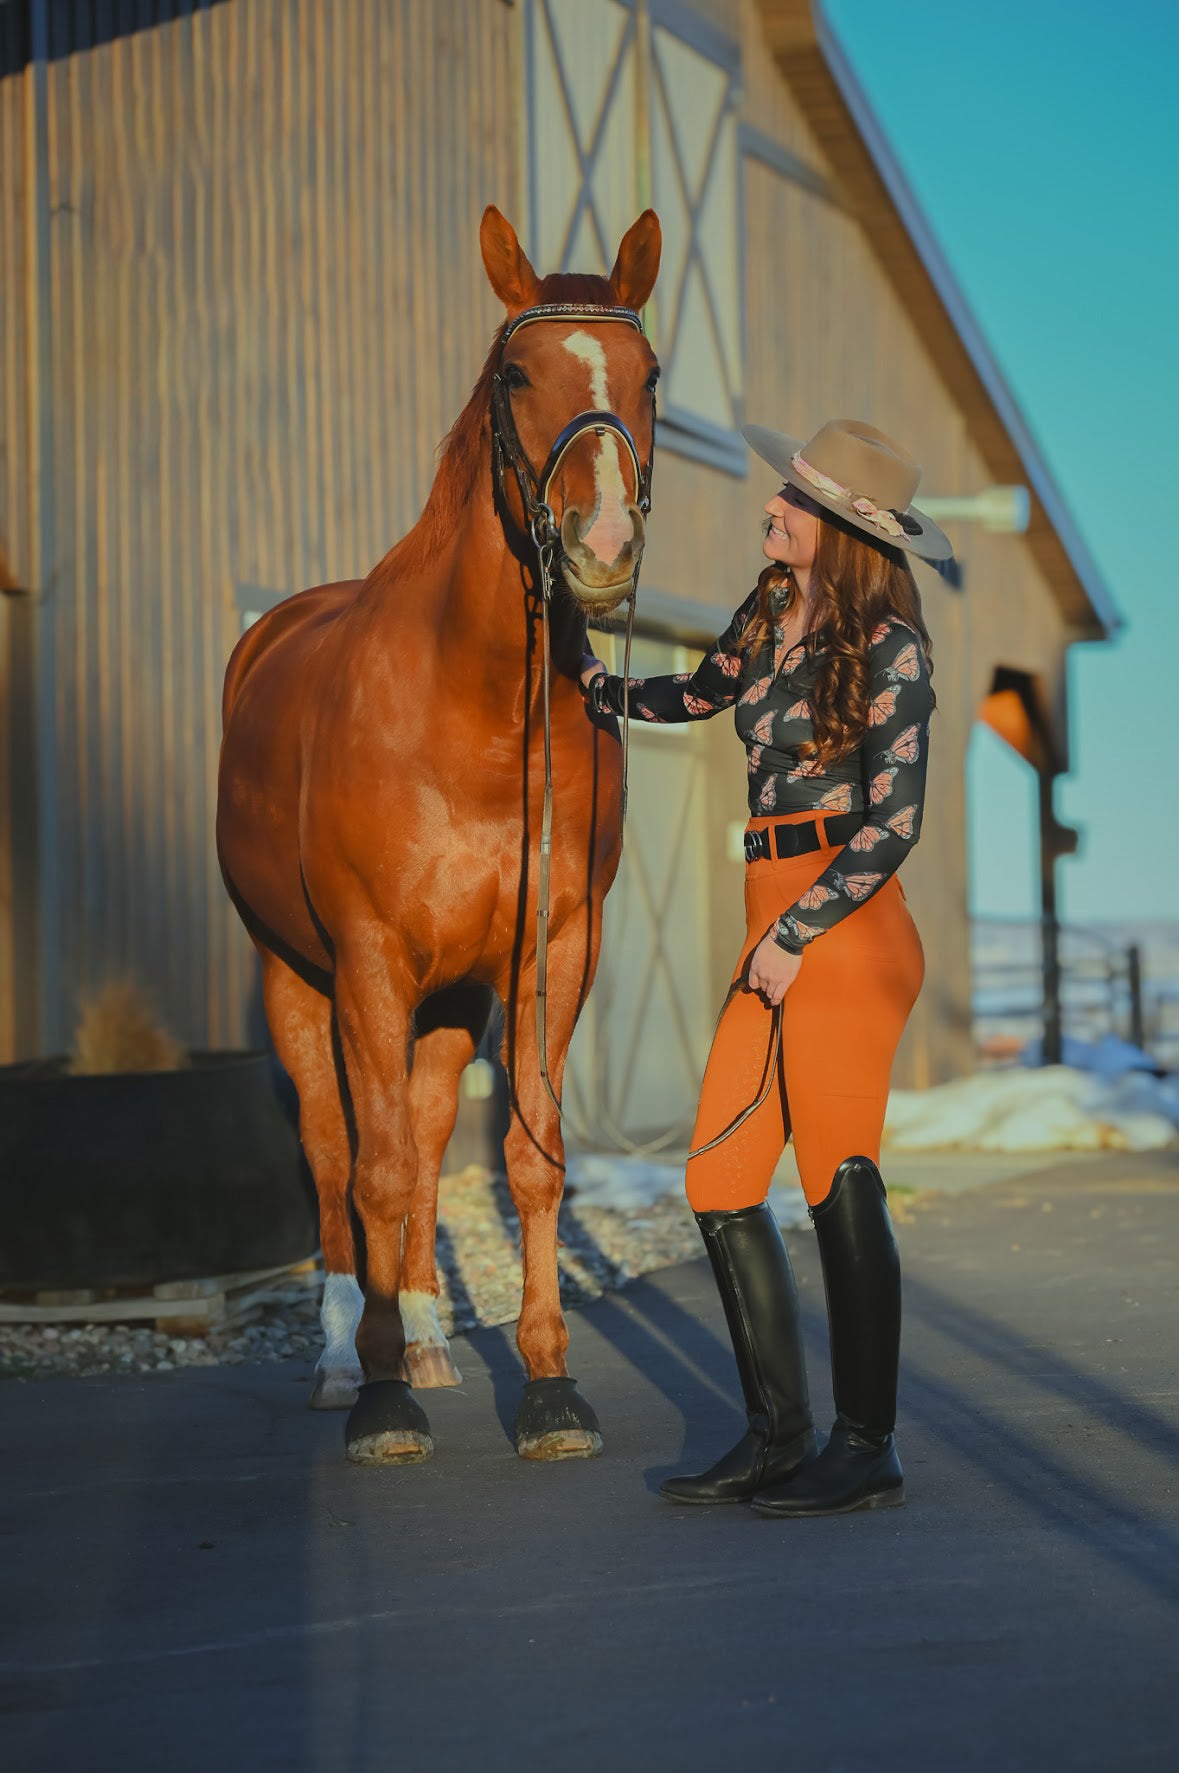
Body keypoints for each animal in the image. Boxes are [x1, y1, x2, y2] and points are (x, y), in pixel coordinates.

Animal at [218, 207, 663, 1460]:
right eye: (517, 374)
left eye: (651, 374)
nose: (601, 547)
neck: (472, 713)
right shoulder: (368, 958)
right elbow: (366, 1173)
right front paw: (379, 1403)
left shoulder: (551, 953)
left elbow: (526, 1161)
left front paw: (550, 1384)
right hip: (297, 978)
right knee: (338, 1152)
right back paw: (349, 1361)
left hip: (451, 1001)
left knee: (419, 1135)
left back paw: (420, 1338)